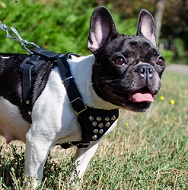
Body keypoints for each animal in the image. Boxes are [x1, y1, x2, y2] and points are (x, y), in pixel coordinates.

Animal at [0, 6, 164, 189]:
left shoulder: (90, 146)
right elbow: (34, 179)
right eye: (119, 60)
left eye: (160, 61)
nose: (146, 69)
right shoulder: (39, 142)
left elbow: (77, 173)